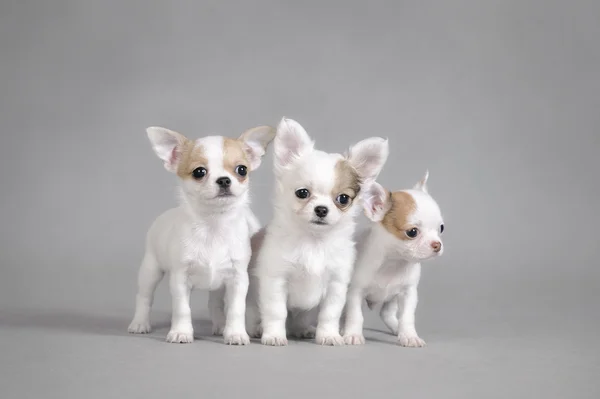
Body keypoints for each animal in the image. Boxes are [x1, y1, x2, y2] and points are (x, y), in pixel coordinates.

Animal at [129, 123, 276, 346]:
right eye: (199, 172)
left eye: (242, 170)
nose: (224, 180)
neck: (213, 225)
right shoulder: (180, 279)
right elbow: (182, 309)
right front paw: (181, 332)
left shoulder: (238, 279)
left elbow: (236, 309)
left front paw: (235, 333)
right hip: (150, 270)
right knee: (144, 297)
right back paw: (139, 323)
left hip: (217, 285)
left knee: (214, 303)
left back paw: (220, 326)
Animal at [245, 117, 390, 346]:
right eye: (302, 193)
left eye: (343, 199)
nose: (321, 209)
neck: (314, 242)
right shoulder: (275, 279)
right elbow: (276, 311)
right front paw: (274, 335)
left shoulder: (336, 284)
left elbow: (330, 313)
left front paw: (329, 335)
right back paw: (257, 329)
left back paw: (303, 330)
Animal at [342, 173, 446, 348]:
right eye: (412, 232)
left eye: (441, 228)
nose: (437, 245)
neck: (393, 262)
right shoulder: (355, 292)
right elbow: (355, 315)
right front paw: (353, 334)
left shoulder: (408, 293)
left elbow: (407, 317)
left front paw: (409, 336)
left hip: (392, 298)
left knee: (386, 313)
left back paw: (397, 328)